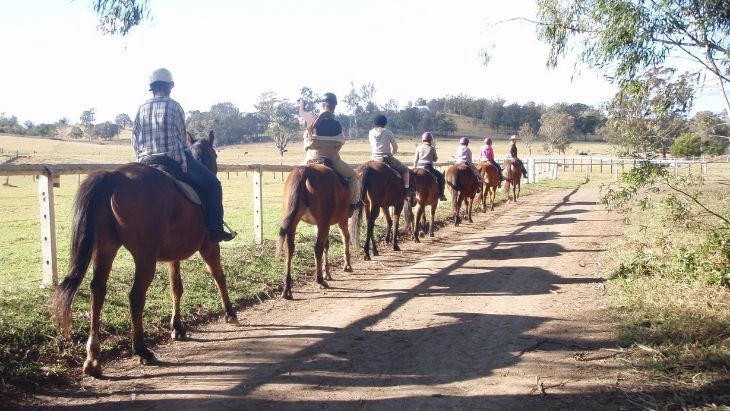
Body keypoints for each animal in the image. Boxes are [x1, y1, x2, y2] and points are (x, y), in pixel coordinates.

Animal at [52, 131, 235, 376]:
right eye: (215, 155)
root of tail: (115, 177)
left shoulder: (172, 256)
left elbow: (176, 288)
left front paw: (177, 327)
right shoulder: (209, 247)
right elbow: (219, 277)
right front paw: (230, 313)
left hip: (105, 249)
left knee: (97, 292)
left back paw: (93, 358)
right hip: (144, 257)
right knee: (135, 297)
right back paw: (142, 350)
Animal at [274, 163, 352, 300]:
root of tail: (305, 170)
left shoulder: (321, 225)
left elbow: (328, 244)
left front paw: (328, 273)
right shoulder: (340, 220)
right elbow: (345, 238)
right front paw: (346, 265)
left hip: (294, 222)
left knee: (289, 249)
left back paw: (287, 288)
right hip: (324, 223)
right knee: (318, 248)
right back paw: (320, 280)